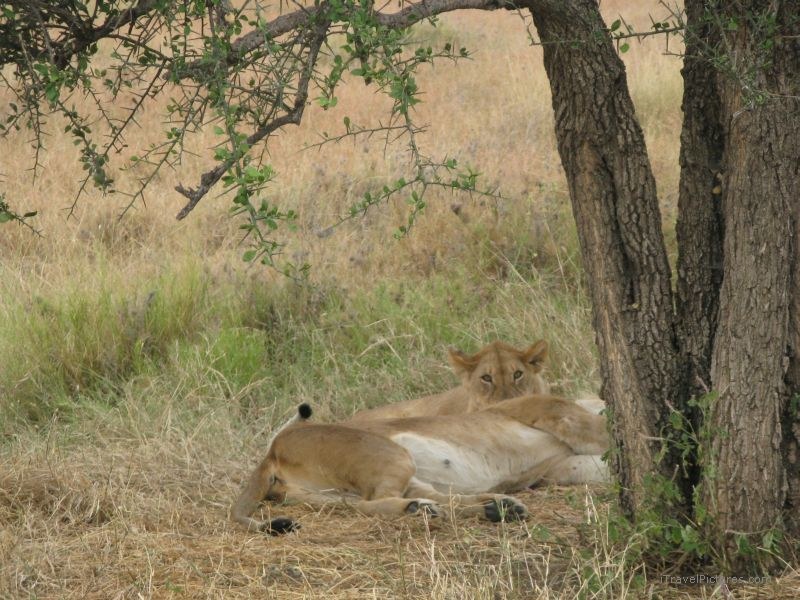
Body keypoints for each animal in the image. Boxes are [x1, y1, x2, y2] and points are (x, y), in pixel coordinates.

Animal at [232, 394, 608, 533]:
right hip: (392, 455)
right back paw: (422, 510)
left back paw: (498, 507)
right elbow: (601, 429)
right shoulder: (548, 408)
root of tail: (272, 450)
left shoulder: (562, 465)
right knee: (377, 500)